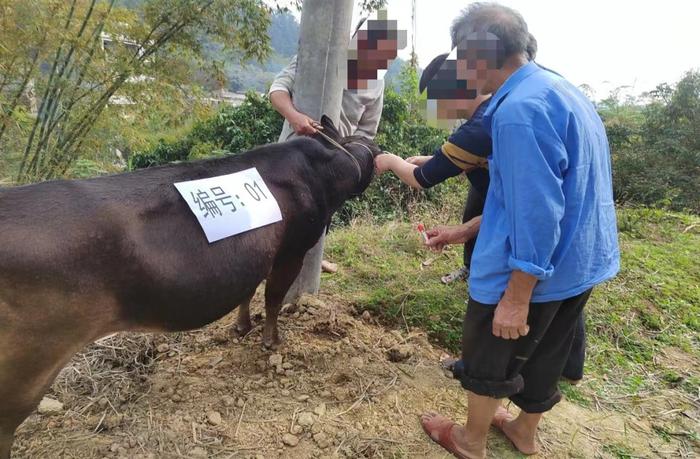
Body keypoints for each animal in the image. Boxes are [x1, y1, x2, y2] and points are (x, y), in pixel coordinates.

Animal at [0, 116, 380, 459]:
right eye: (370, 148)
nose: (377, 151)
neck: (320, 169)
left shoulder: (253, 254)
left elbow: (247, 290)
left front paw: (241, 327)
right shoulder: (293, 248)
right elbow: (272, 297)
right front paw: (271, 341)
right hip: (29, 361)